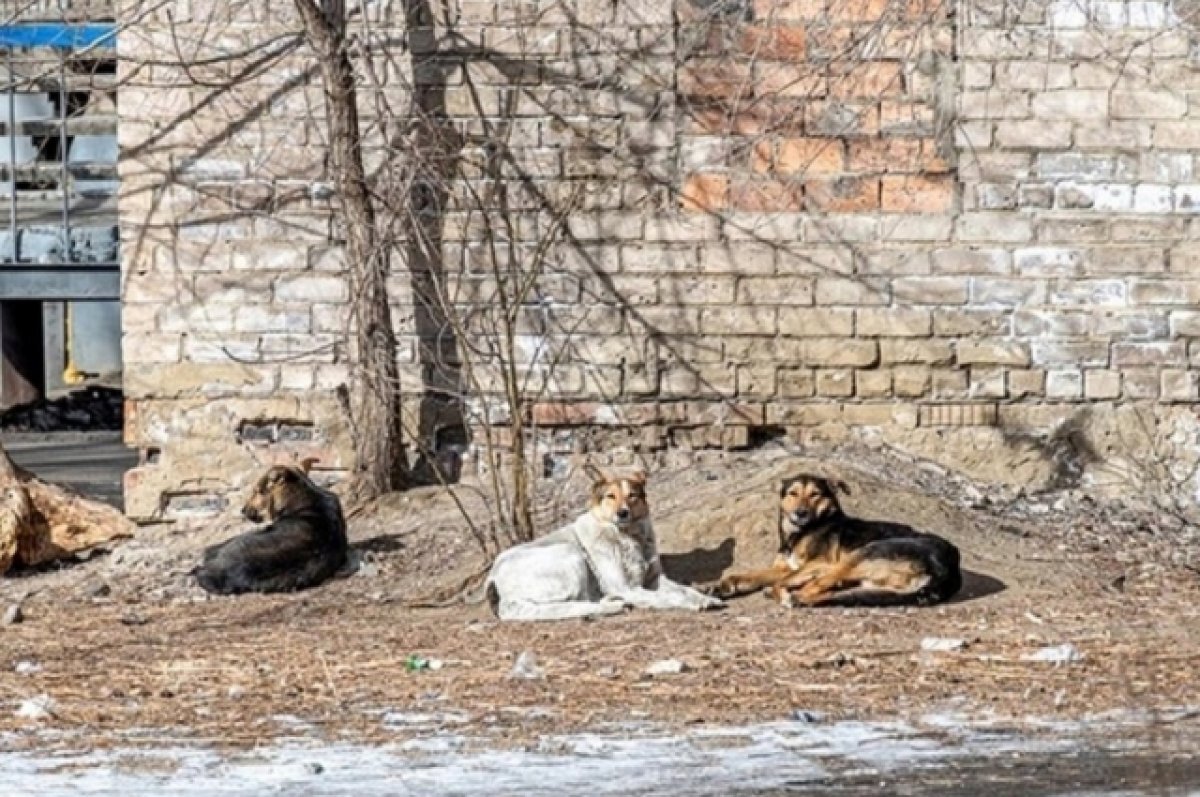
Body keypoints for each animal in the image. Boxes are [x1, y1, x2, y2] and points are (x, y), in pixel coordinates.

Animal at [484, 470, 724, 619]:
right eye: (610, 496)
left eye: (632, 495)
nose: (622, 513)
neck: (628, 537)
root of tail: (493, 578)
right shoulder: (628, 587)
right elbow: (669, 596)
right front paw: (691, 603)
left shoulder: (655, 579)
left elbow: (685, 589)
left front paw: (706, 597)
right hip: (571, 554)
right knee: (570, 604)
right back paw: (613, 605)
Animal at [715, 470, 960, 607]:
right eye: (793, 493)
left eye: (815, 494)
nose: (800, 513)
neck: (802, 532)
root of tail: (948, 568)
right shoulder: (784, 566)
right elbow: (749, 575)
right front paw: (725, 585)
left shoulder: (819, 563)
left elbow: (782, 581)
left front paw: (781, 592)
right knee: (828, 590)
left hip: (860, 555)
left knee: (815, 587)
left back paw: (791, 597)